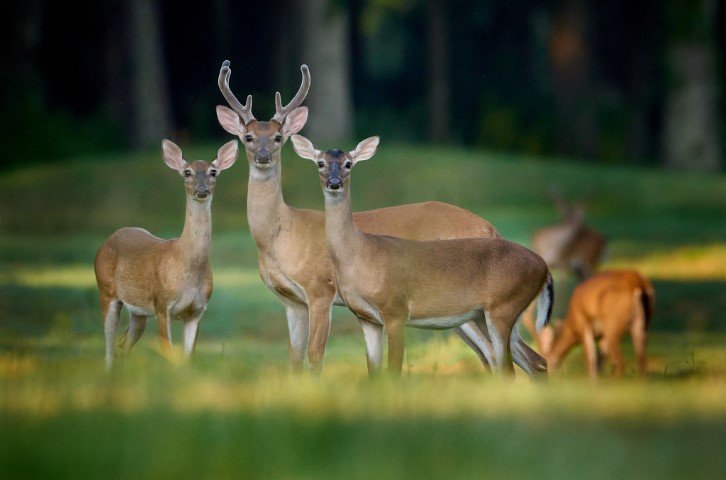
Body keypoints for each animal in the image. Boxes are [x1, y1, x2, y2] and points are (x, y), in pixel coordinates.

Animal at [94, 140, 239, 372]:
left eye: (213, 172)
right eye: (187, 172)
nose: (202, 191)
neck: (185, 263)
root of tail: (110, 238)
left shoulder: (197, 311)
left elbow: (189, 357)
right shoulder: (162, 305)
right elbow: (168, 353)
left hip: (139, 311)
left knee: (122, 342)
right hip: (106, 291)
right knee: (108, 347)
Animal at [292, 133, 556, 376]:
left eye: (348, 163)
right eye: (320, 163)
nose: (334, 182)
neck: (360, 253)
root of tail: (545, 270)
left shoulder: (396, 310)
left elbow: (393, 373)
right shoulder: (366, 318)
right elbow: (374, 375)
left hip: (503, 307)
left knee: (511, 368)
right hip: (486, 315)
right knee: (530, 363)